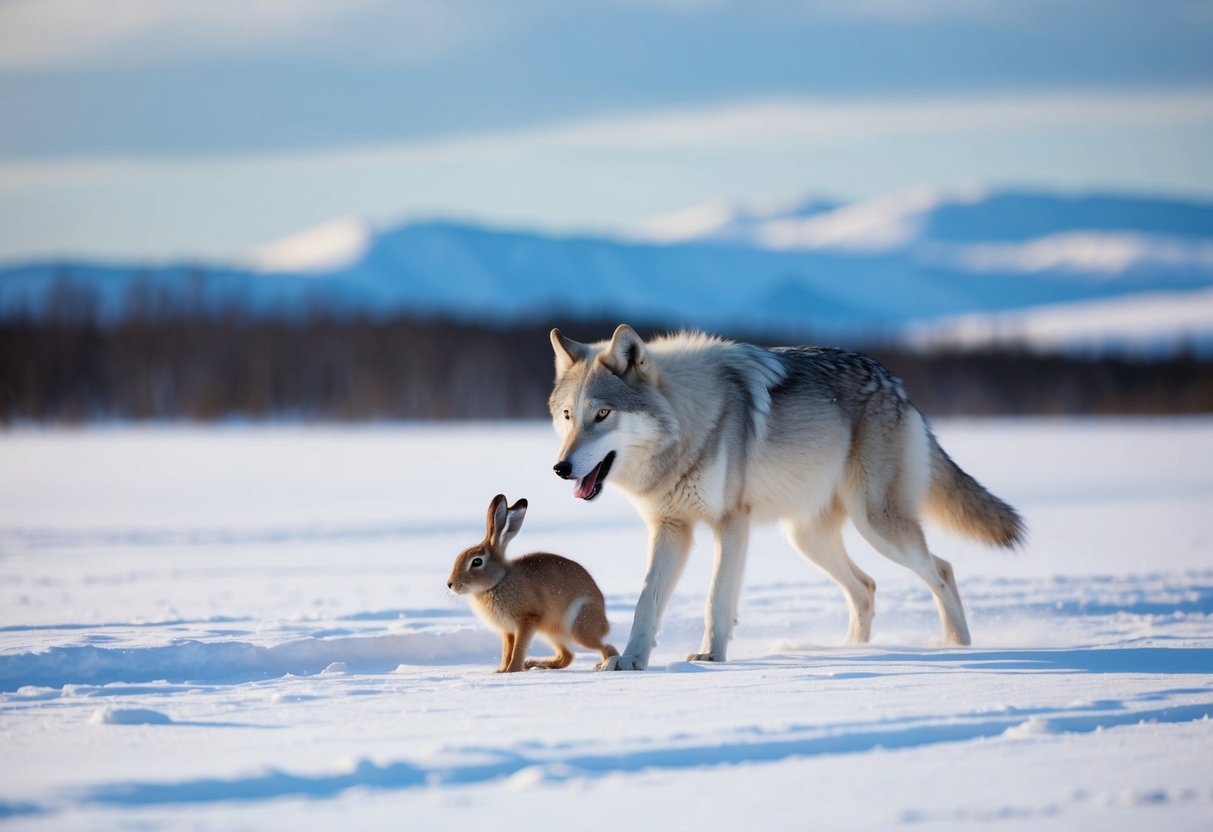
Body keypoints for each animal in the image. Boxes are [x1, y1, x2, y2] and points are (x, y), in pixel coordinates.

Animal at [447, 494, 618, 672]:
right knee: (566, 657)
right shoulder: (507, 631)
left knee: (607, 647)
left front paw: (512, 670)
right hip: (551, 632)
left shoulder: (527, 620)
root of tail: (604, 621)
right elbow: (507, 652)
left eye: (477, 562)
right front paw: (501, 671)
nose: (450, 584)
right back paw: (535, 664)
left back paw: (605, 665)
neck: (498, 581)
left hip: (577, 627)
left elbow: (518, 650)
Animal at [548, 324, 1024, 671]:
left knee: (941, 570)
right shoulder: (671, 528)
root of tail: (897, 385)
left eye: (603, 414)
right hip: (808, 538)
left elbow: (716, 598)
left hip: (878, 526)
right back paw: (851, 652)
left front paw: (710, 657)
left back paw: (958, 647)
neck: (690, 422)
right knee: (866, 587)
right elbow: (647, 600)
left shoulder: (731, 523)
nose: (560, 468)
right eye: (568, 416)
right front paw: (630, 661)